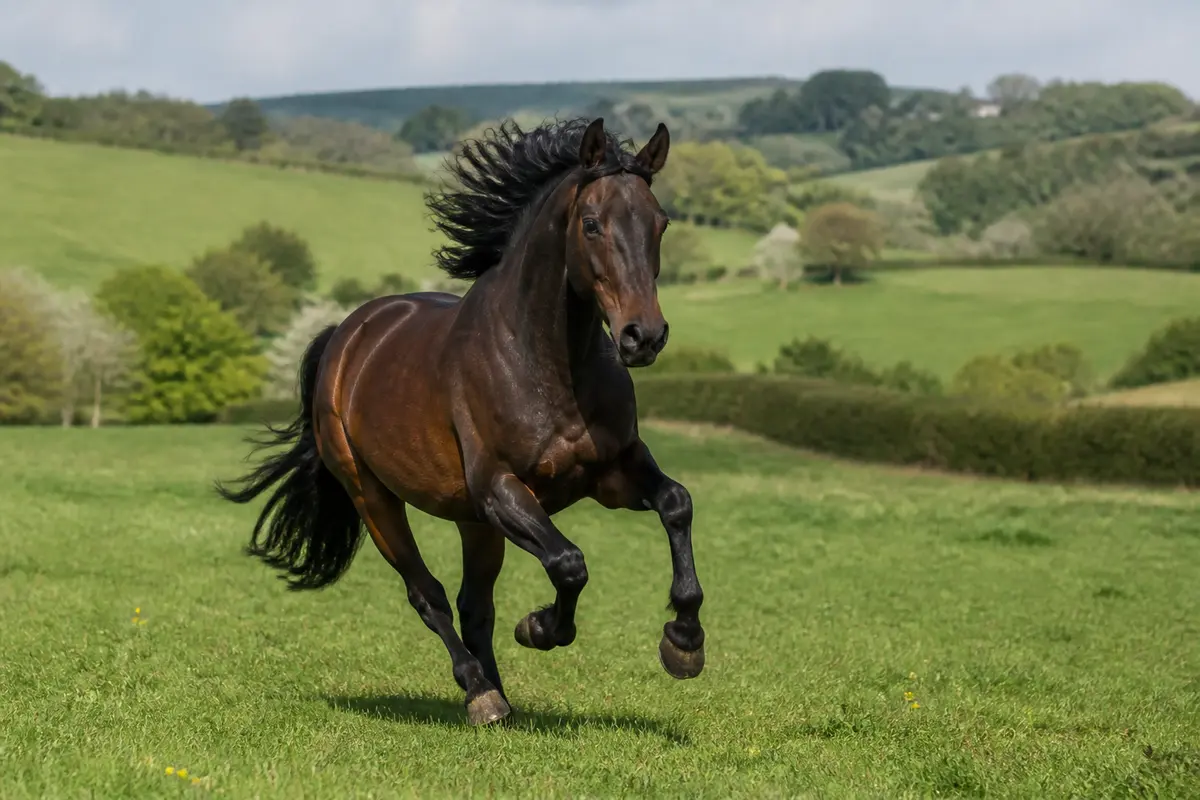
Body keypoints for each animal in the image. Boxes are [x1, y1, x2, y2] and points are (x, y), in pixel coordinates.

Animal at [217, 117, 706, 726]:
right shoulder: (502, 489)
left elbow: (676, 504)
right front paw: (539, 627)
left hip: (473, 521)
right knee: (427, 595)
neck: (547, 361)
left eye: (660, 222)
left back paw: (498, 695)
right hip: (375, 497)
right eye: (592, 224)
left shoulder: (612, 473)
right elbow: (569, 563)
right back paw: (480, 694)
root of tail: (345, 336)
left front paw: (684, 642)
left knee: (474, 605)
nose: (644, 336)